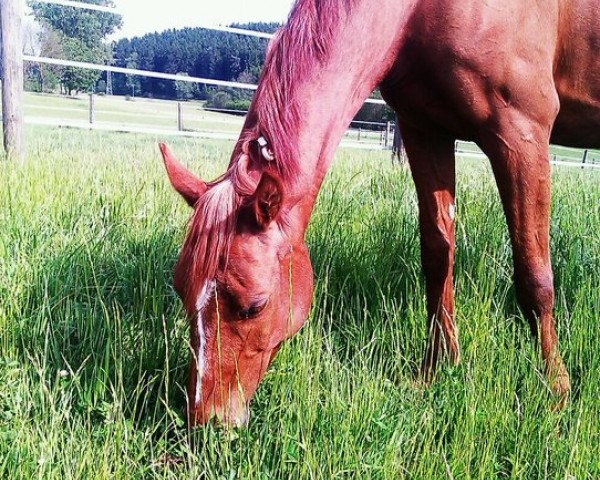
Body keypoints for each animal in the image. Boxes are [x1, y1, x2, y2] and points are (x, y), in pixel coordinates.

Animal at [161, 0, 600, 428]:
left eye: (254, 305)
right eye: (181, 290)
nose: (207, 420)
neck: (421, 12)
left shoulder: (521, 134)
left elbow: (534, 276)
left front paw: (557, 391)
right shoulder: (425, 130)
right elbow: (437, 256)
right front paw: (437, 368)